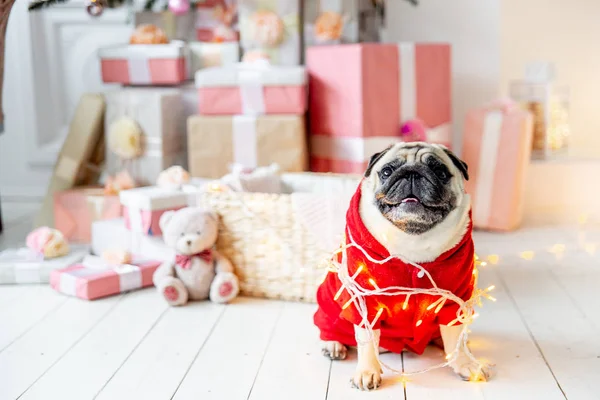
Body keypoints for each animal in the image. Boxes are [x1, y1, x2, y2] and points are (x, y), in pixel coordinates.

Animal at [314, 142, 492, 390]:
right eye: (387, 171)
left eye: (440, 172)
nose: (412, 173)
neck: (413, 236)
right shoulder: (365, 303)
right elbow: (366, 342)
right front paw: (367, 372)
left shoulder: (454, 301)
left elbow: (455, 336)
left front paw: (466, 363)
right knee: (331, 328)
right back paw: (333, 344)